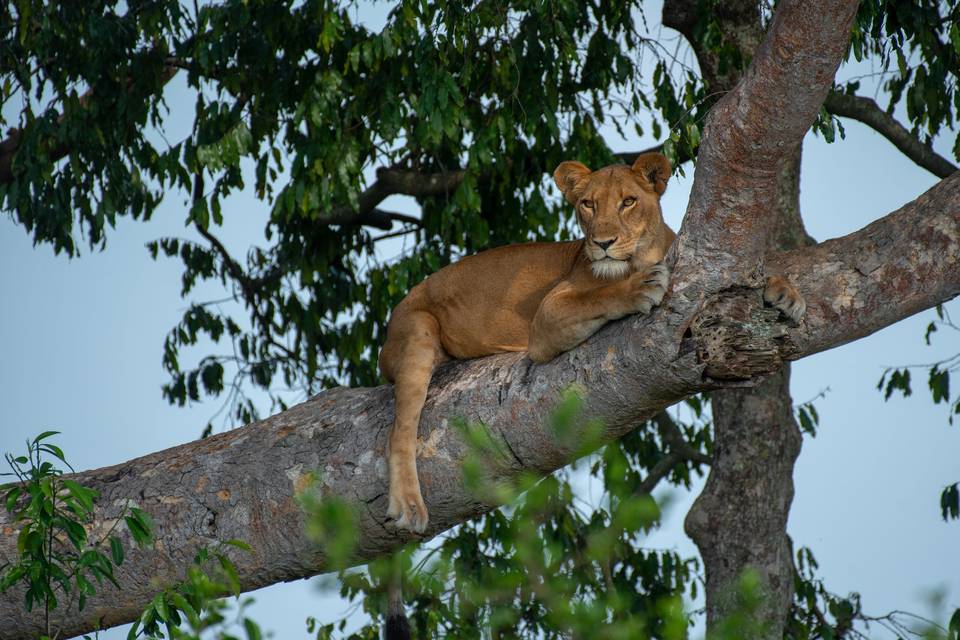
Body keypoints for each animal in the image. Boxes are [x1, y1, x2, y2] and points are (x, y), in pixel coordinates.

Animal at [377, 152, 805, 533]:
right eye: (588, 204)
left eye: (628, 201)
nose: (602, 242)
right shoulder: (546, 320)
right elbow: (601, 295)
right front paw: (638, 286)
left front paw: (784, 291)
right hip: (416, 332)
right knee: (400, 431)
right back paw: (409, 506)